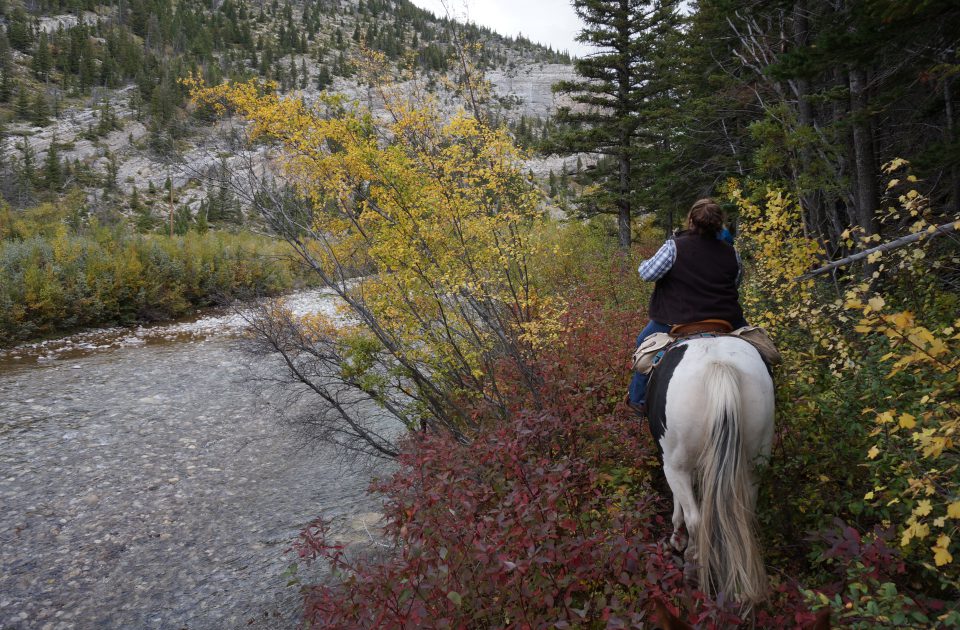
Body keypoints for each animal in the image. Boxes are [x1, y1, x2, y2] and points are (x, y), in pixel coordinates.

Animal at [644, 338, 772, 604]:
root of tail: (719, 366)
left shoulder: (671, 462)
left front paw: (676, 538)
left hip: (676, 464)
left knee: (696, 519)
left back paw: (693, 568)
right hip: (755, 462)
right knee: (744, 513)